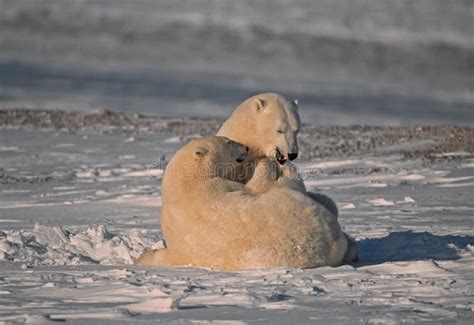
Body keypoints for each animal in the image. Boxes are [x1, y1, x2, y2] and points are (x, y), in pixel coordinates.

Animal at [135, 135, 350, 270]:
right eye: (228, 141)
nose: (246, 147)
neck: (184, 185)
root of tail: (334, 242)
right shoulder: (216, 187)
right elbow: (253, 187)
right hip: (294, 207)